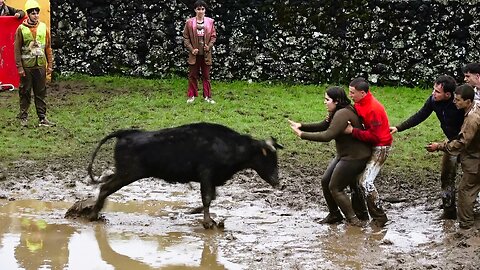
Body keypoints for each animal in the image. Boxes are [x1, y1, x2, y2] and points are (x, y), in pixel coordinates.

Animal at [65, 122, 284, 228]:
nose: (277, 182)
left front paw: (195, 213)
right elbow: (207, 198)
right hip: (128, 172)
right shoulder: (206, 175)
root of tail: (127, 133)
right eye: (269, 159)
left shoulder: (212, 179)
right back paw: (93, 214)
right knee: (105, 187)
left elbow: (211, 198)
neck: (230, 146)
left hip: (125, 172)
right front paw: (207, 222)